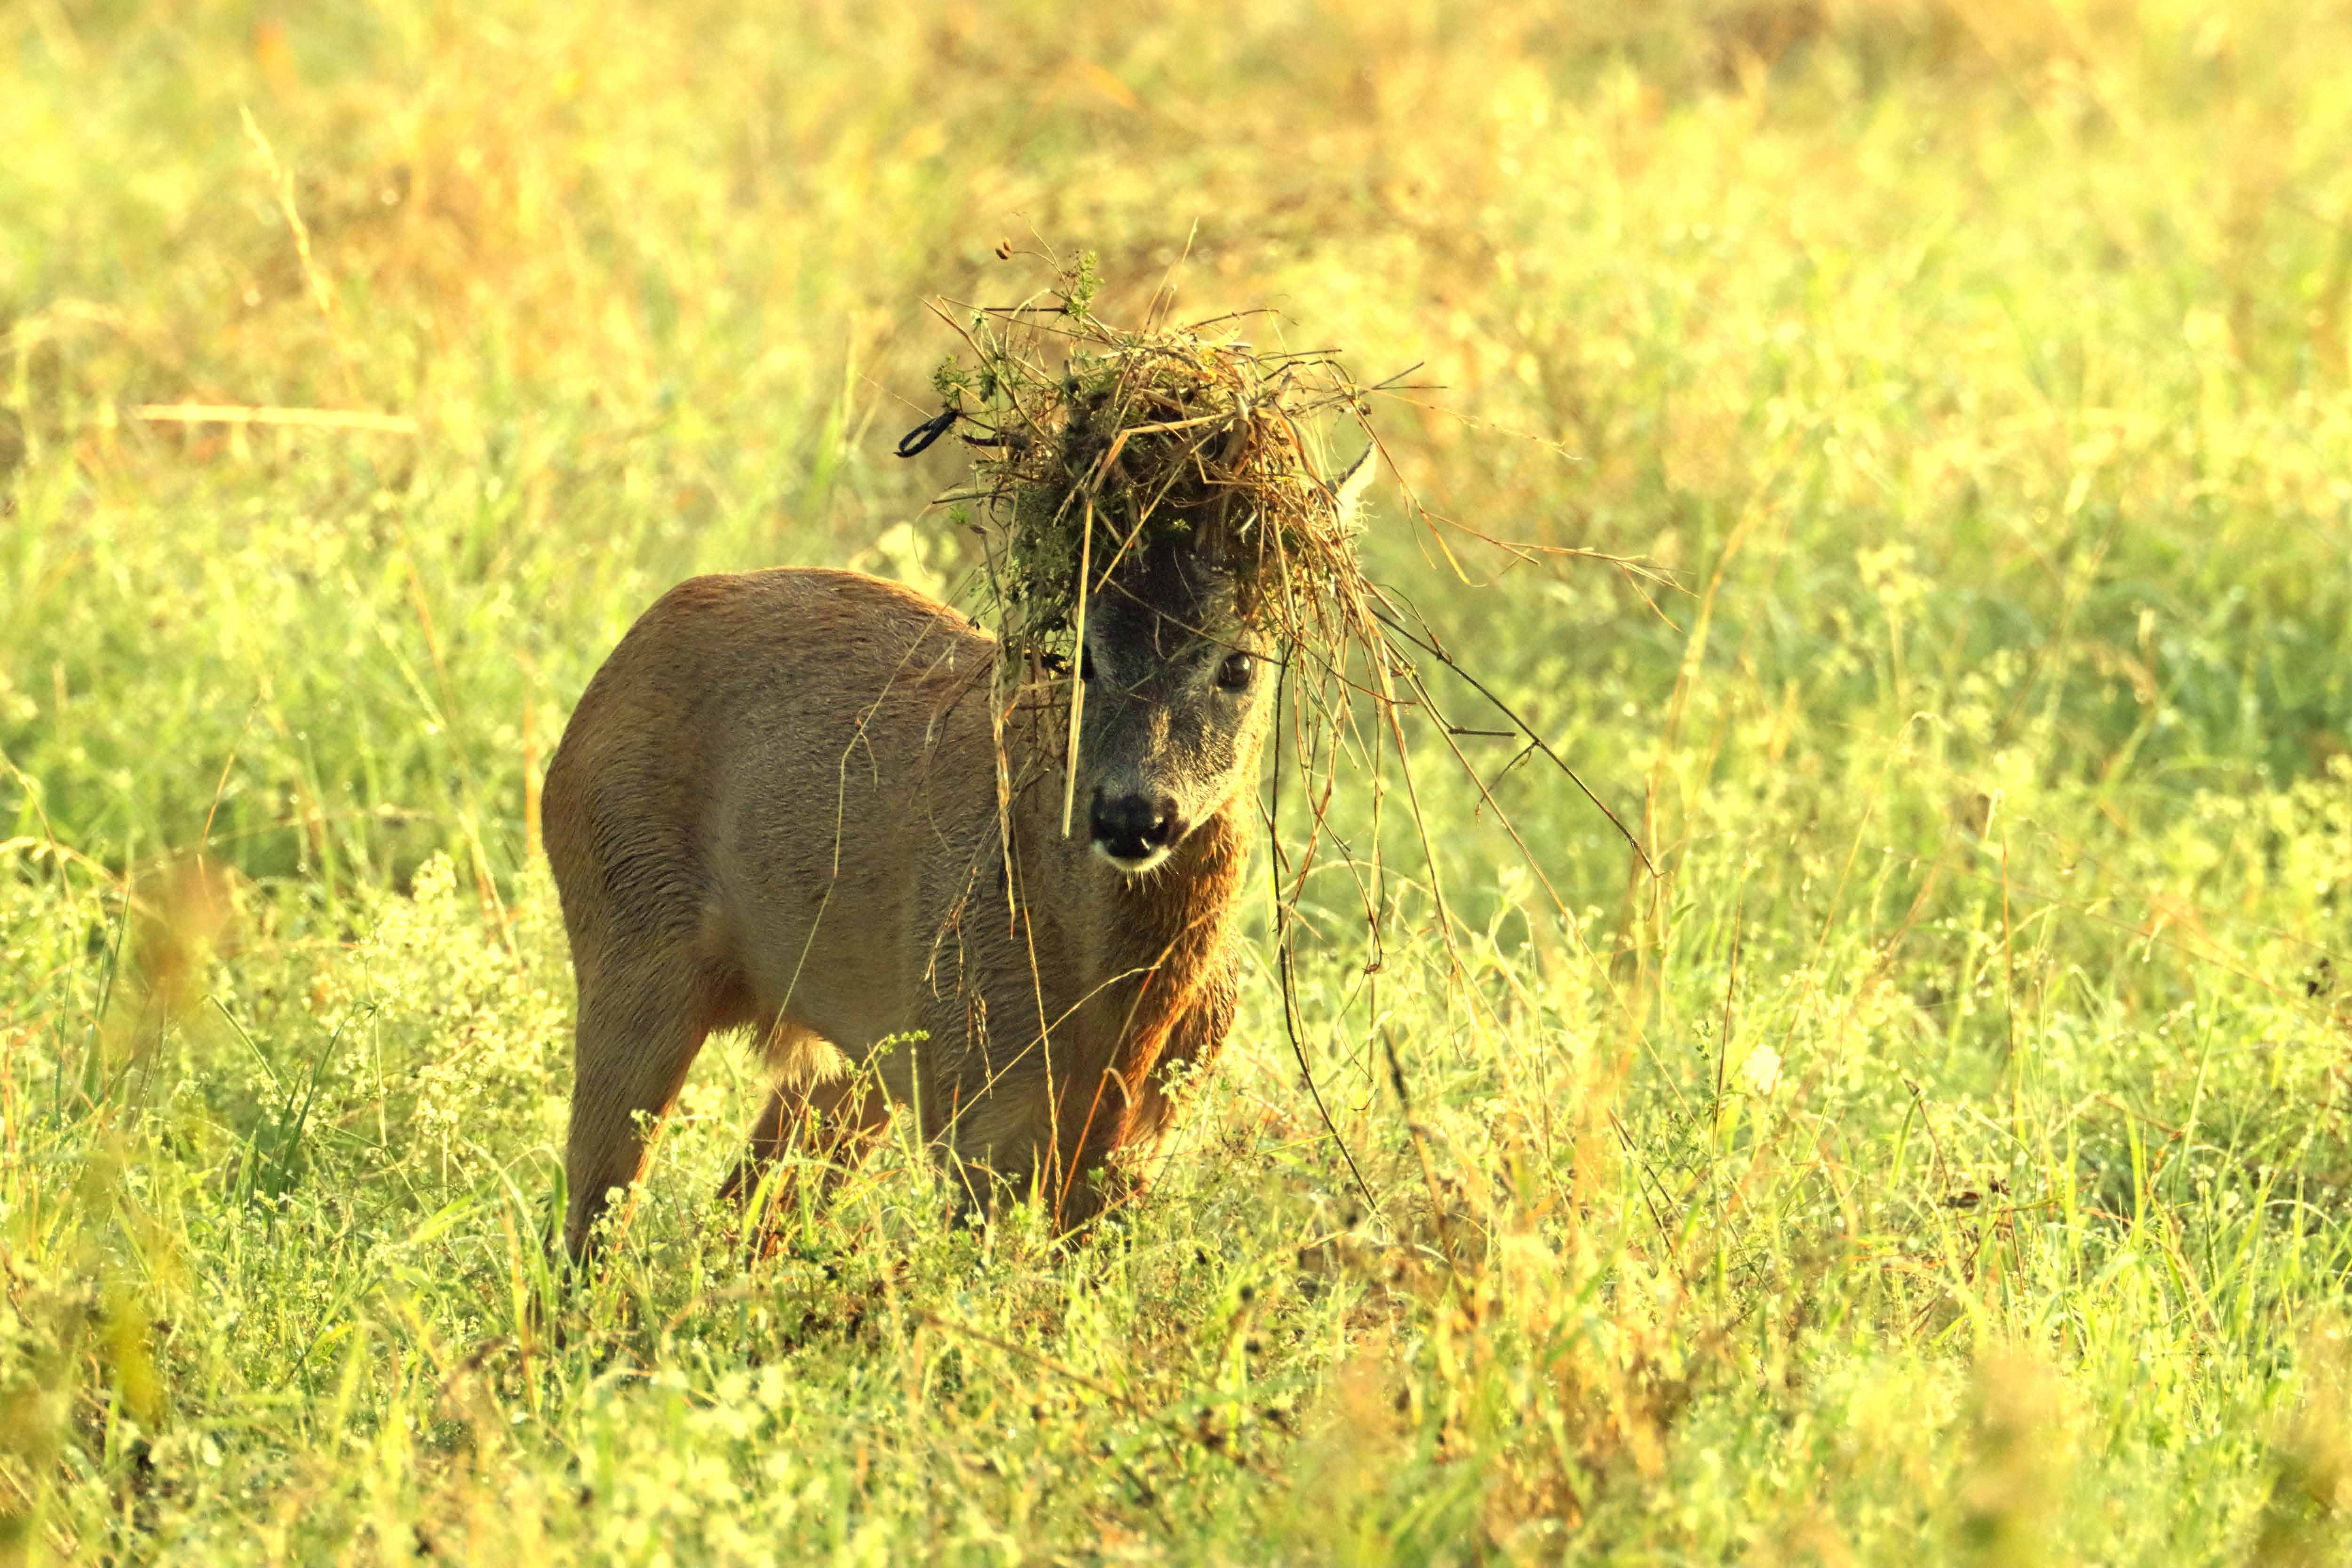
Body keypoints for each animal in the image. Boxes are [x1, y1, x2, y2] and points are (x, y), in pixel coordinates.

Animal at [543, 470, 1374, 1260]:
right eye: (1081, 658)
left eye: (1237, 664)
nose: (1132, 815)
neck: (1114, 1028)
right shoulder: (981, 1110)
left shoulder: (1137, 1140)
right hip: (634, 930)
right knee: (591, 1222)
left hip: (852, 1062)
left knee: (742, 1215)